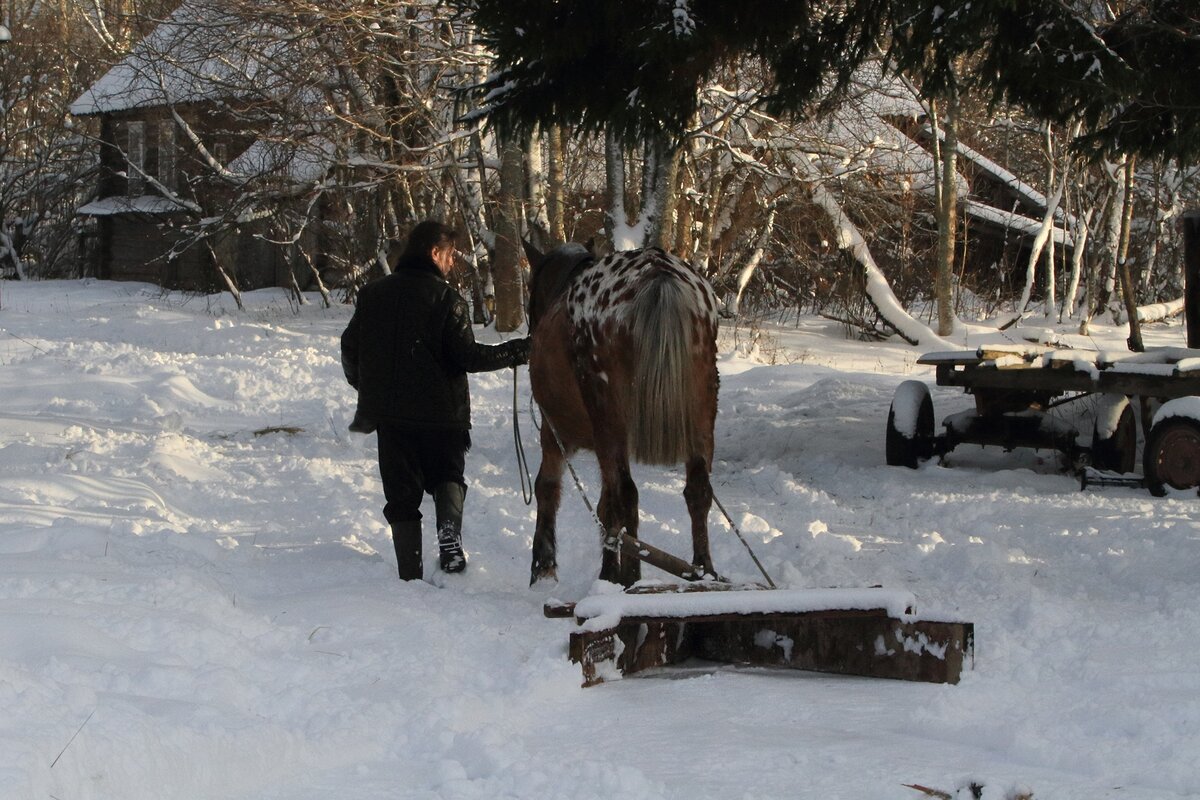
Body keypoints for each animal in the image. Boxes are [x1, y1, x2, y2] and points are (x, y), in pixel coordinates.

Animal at [523, 241, 715, 585]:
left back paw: (629, 576)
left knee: (626, 495)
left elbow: (548, 487)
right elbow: (604, 505)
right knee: (698, 491)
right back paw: (703, 572)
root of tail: (659, 275)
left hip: (608, 420)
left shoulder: (553, 430)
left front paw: (543, 565)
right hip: (702, 411)